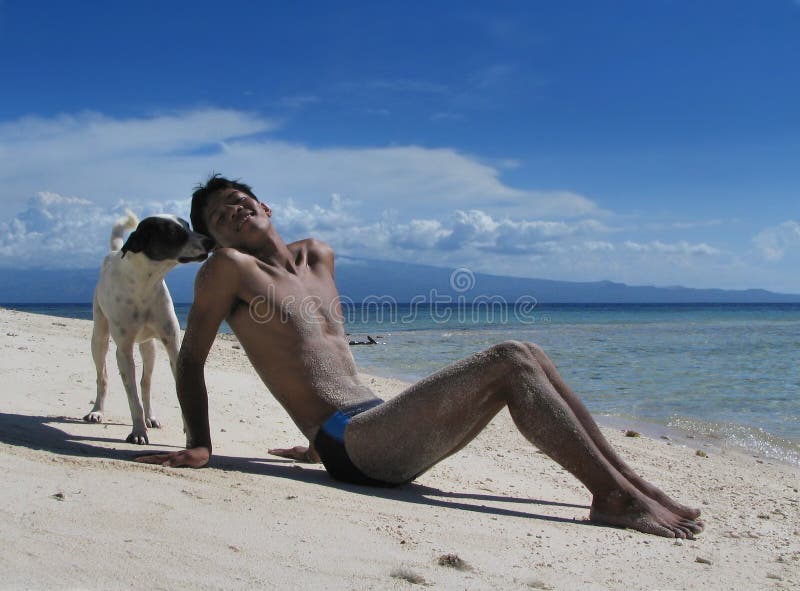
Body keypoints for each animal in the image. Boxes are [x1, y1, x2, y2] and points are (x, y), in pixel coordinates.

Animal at [85, 213, 212, 444]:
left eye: (187, 225)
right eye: (173, 232)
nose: (210, 241)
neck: (145, 283)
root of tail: (113, 252)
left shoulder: (173, 346)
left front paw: (190, 431)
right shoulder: (123, 352)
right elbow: (132, 398)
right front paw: (138, 431)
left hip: (149, 347)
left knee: (146, 383)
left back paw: (150, 417)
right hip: (99, 336)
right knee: (103, 376)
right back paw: (97, 411)